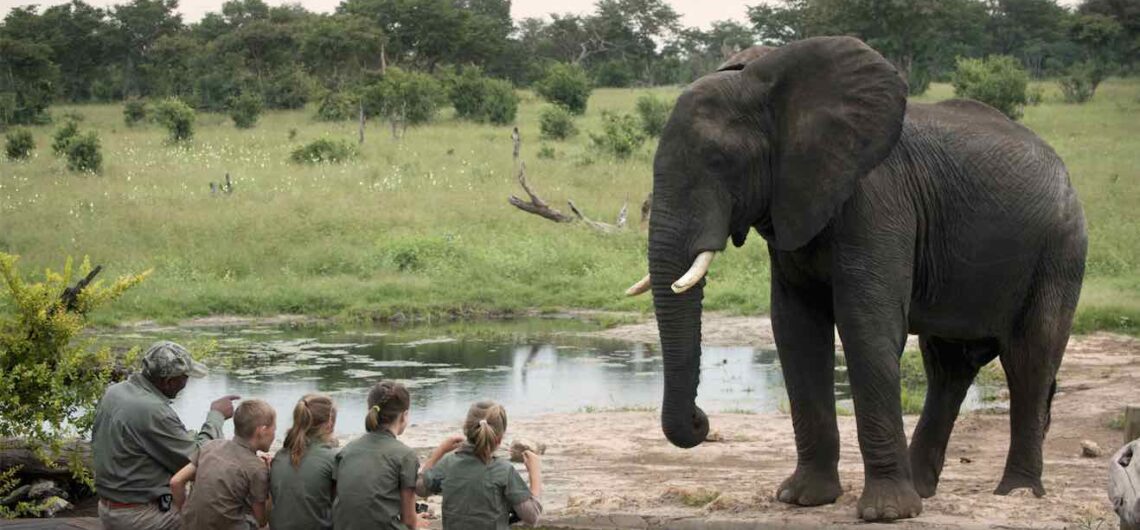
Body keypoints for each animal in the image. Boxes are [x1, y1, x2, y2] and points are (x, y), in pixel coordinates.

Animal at [629, 37, 1089, 519]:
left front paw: (887, 513)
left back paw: (1017, 492)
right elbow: (795, 328)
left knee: (1029, 358)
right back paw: (924, 489)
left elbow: (865, 324)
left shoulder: (877, 197)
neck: (770, 84)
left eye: (721, 161)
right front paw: (802, 499)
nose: (702, 421)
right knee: (948, 365)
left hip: (1060, 249)